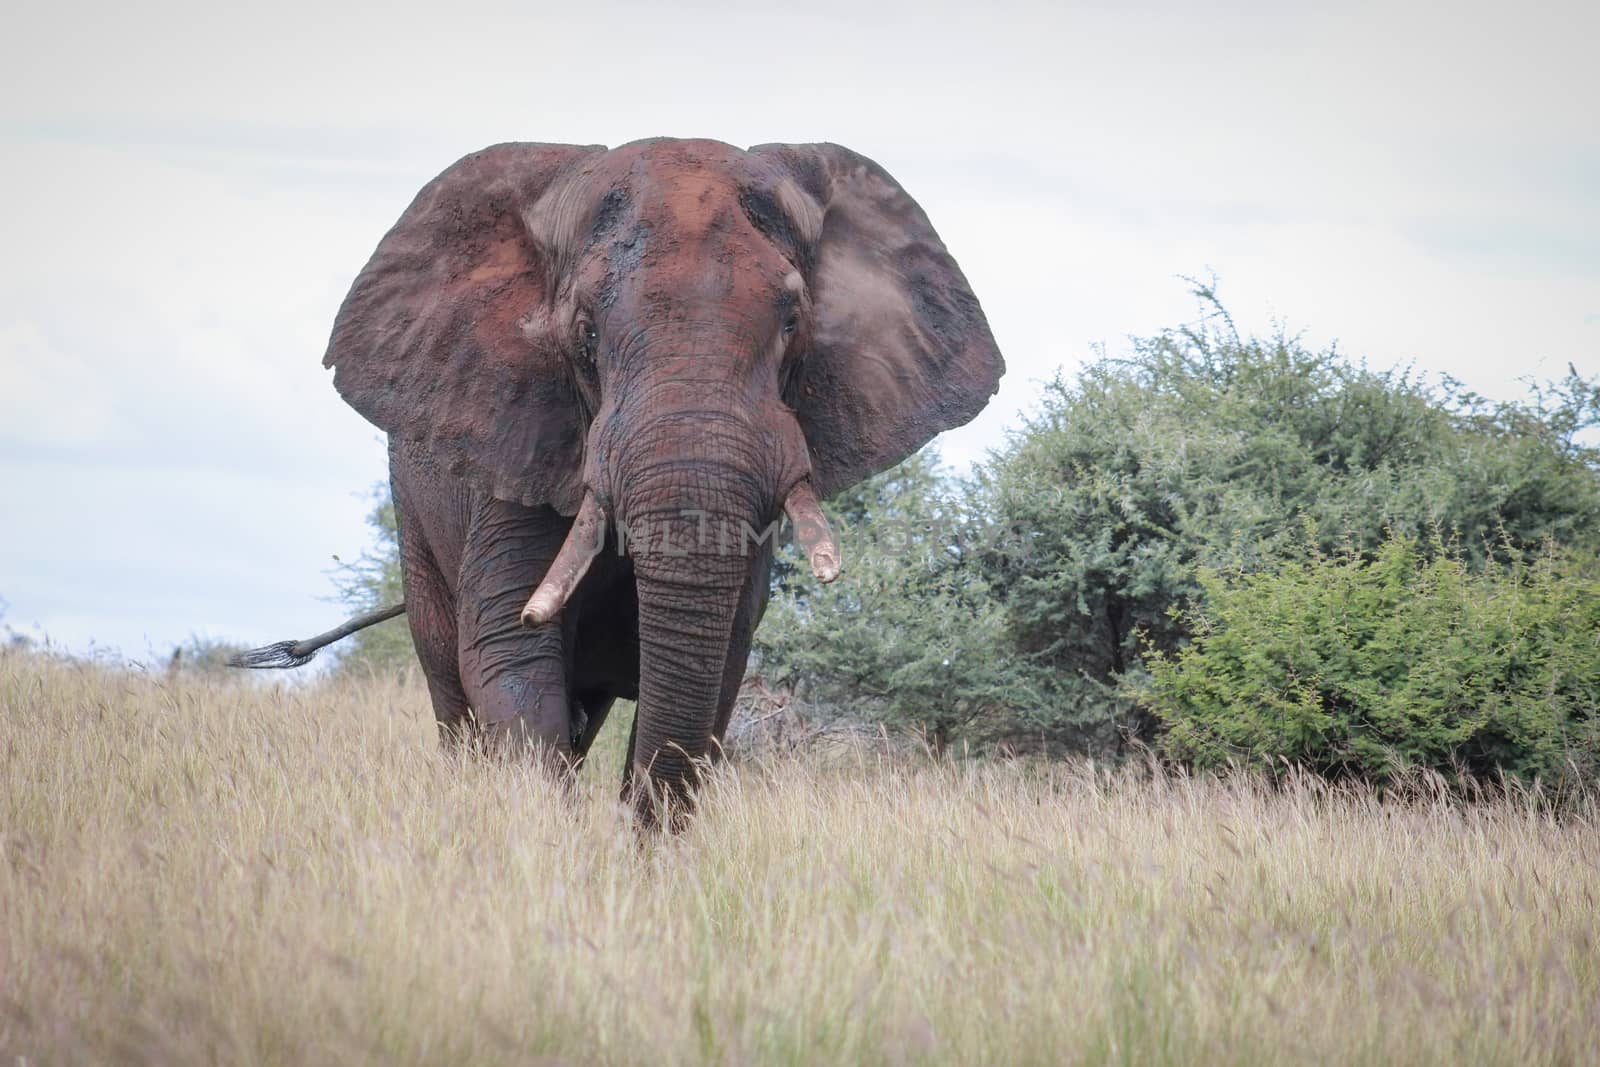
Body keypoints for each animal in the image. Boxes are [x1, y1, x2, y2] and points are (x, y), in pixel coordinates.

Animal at [240, 139, 998, 825]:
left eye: (792, 321)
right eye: (587, 333)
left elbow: (715, 670)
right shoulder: (520, 440)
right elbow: (510, 652)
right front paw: (549, 846)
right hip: (416, 516)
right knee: (453, 691)